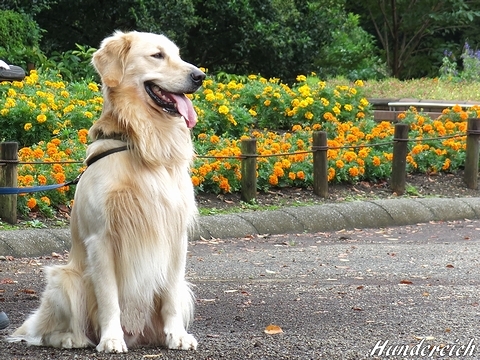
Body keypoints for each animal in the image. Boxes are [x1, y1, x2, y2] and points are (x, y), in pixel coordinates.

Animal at [9, 30, 204, 352]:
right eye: (157, 55)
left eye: (178, 54)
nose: (200, 76)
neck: (140, 144)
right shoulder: (101, 238)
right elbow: (109, 298)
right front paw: (112, 338)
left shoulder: (176, 236)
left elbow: (171, 295)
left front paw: (177, 335)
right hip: (64, 279)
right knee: (47, 332)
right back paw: (71, 339)